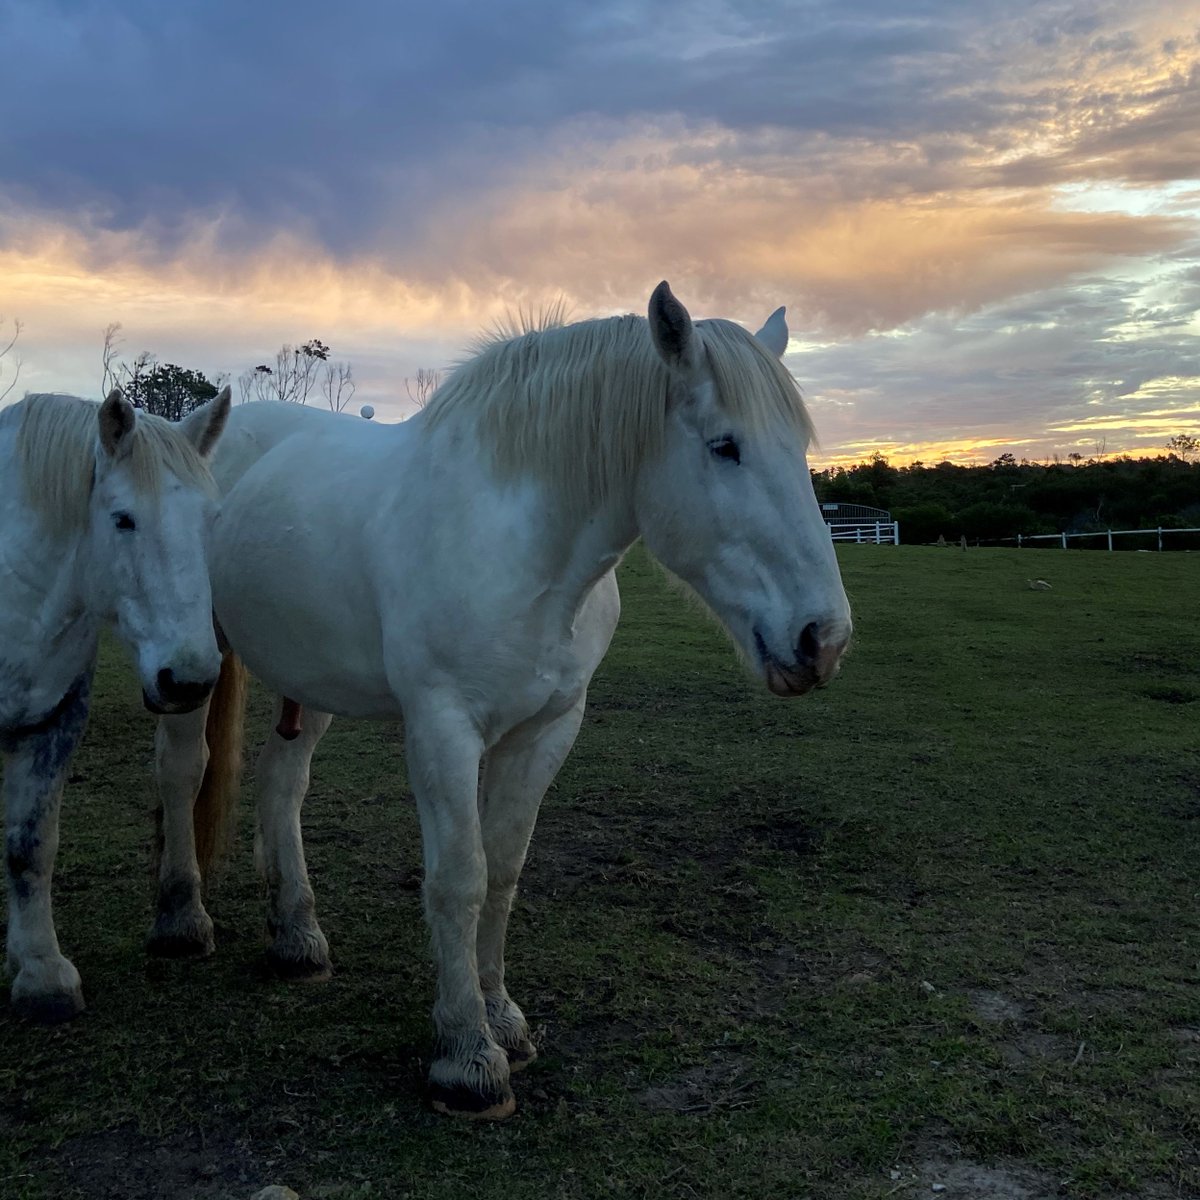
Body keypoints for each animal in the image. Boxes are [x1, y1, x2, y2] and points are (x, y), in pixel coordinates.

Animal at [0, 385, 231, 1022]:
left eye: (212, 520)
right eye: (122, 519)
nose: (188, 679)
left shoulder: (53, 718)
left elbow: (31, 843)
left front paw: (41, 972)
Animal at [152, 282, 852, 1118]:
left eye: (799, 449)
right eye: (724, 446)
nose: (823, 639)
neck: (524, 548)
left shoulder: (545, 730)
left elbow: (505, 870)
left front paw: (502, 1018)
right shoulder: (443, 729)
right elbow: (461, 878)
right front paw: (466, 1056)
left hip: (308, 677)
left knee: (281, 785)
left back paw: (296, 939)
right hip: (193, 660)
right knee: (184, 773)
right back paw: (183, 919)